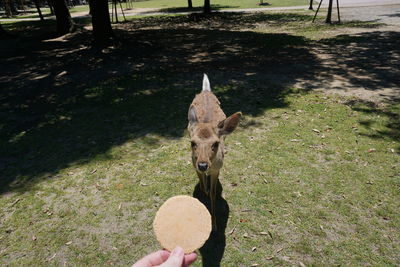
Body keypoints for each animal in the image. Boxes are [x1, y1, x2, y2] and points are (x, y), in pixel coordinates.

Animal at [187, 74, 241, 231]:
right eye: (192, 142)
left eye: (215, 143)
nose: (203, 165)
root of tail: (206, 90)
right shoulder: (193, 164)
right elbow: (203, 187)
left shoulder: (216, 169)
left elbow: (212, 193)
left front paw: (215, 225)